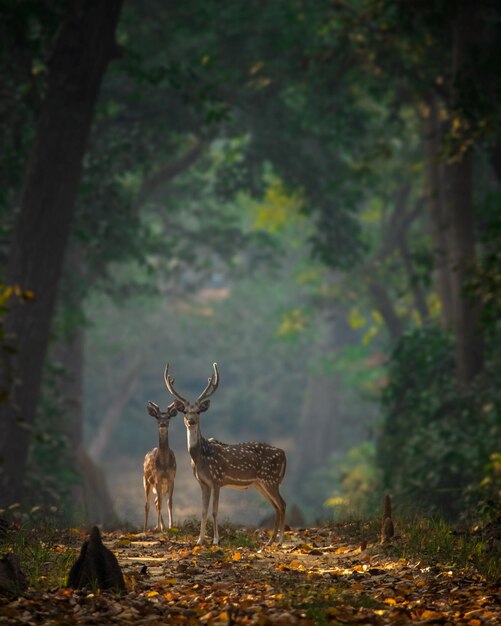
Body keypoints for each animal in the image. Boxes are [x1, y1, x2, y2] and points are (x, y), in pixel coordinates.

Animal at [142, 400, 177, 532]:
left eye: (168, 417)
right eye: (157, 417)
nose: (162, 424)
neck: (165, 464)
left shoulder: (172, 477)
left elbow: (169, 502)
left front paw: (172, 525)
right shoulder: (157, 478)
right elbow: (161, 503)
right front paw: (158, 527)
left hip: (162, 486)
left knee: (157, 501)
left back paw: (163, 526)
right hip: (147, 481)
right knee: (148, 504)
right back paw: (146, 528)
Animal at [164, 364, 288, 544]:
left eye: (198, 411)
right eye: (185, 411)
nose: (191, 421)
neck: (200, 457)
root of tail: (283, 454)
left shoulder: (217, 479)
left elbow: (215, 511)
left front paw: (216, 540)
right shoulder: (202, 482)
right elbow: (203, 511)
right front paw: (200, 541)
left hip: (271, 479)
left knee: (282, 504)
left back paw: (279, 541)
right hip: (260, 483)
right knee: (276, 506)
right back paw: (271, 541)